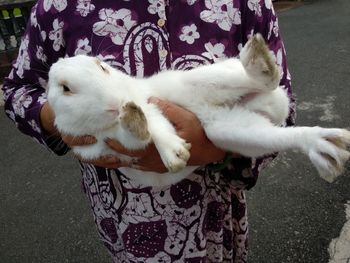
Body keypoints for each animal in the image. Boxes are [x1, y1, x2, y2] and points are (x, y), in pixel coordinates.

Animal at [47, 34, 350, 187]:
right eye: (65, 88)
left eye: (102, 67)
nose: (117, 102)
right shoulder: (106, 144)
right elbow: (141, 133)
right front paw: (137, 121)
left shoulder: (146, 101)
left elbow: (156, 127)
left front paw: (174, 154)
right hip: (228, 130)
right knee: (283, 135)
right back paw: (328, 148)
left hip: (192, 82)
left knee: (264, 81)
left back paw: (258, 58)